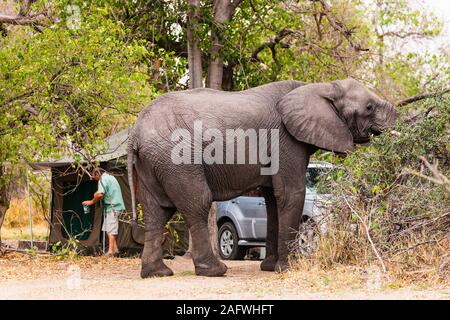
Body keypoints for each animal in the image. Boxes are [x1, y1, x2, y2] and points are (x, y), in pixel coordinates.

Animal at [126, 78, 398, 278]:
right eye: (369, 107)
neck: (319, 86)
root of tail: (135, 133)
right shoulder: (286, 141)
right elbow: (291, 194)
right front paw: (286, 269)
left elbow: (273, 201)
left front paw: (269, 268)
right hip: (177, 159)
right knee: (197, 203)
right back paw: (215, 271)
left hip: (153, 161)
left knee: (156, 211)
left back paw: (157, 273)